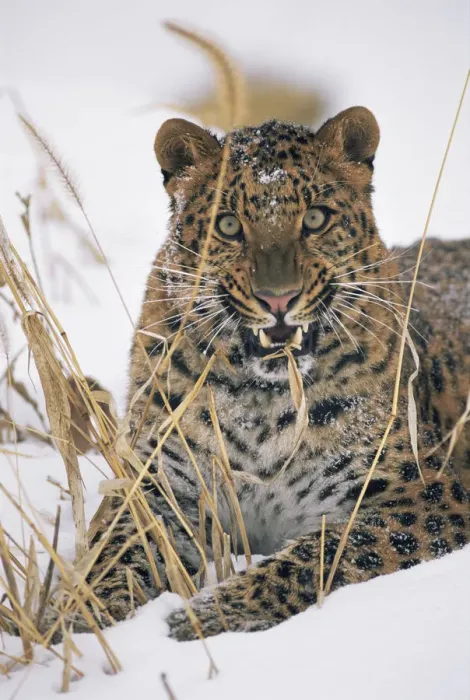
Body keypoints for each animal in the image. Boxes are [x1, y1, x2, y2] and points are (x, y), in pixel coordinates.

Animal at [47, 107, 470, 642]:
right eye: (229, 225)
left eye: (315, 219)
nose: (278, 299)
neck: (261, 405)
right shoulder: (159, 487)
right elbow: (116, 555)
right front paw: (75, 626)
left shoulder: (427, 496)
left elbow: (327, 553)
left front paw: (204, 617)